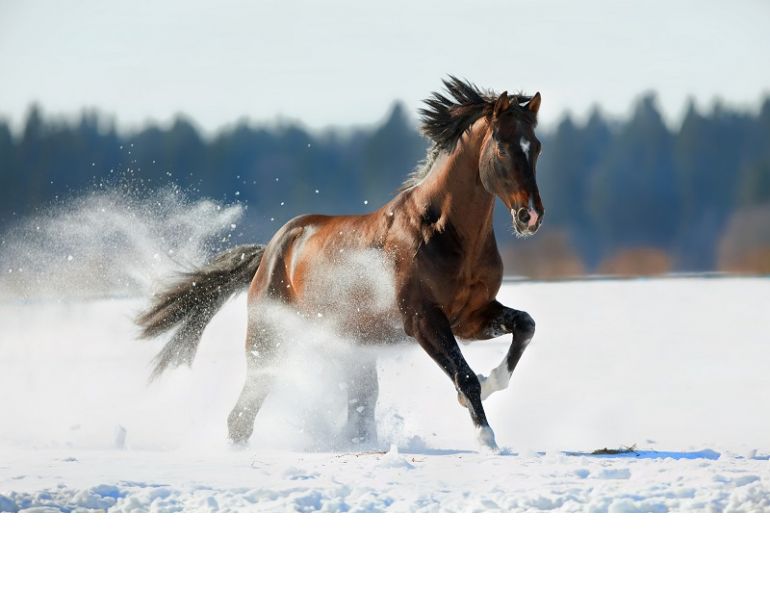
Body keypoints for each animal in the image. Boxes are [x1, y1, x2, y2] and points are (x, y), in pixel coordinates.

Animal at [136, 77, 545, 451]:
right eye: (502, 147)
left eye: (536, 146)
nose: (530, 216)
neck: (441, 231)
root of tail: (269, 253)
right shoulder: (423, 320)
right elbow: (464, 376)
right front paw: (486, 438)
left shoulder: (470, 317)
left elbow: (525, 325)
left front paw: (492, 384)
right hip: (269, 342)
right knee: (242, 414)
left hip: (352, 350)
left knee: (356, 410)